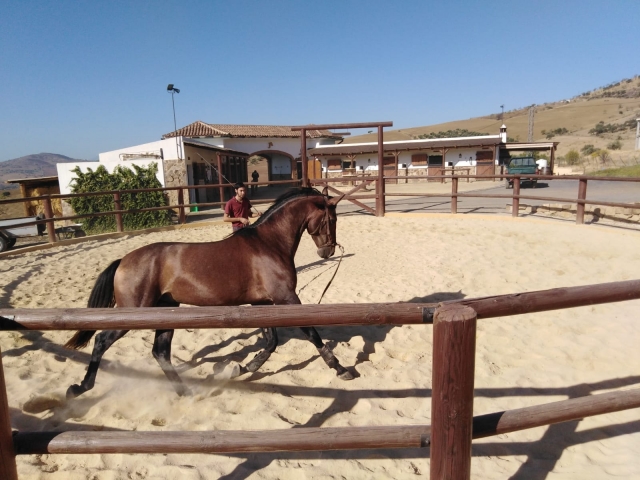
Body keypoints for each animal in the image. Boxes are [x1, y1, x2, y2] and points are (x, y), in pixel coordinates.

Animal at [64, 187, 353, 399]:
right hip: (134, 312)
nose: (327, 251)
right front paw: (341, 369)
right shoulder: (285, 298)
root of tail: (123, 260)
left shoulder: (262, 303)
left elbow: (271, 343)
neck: (269, 244)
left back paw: (185, 391)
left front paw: (241, 368)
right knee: (102, 341)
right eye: (331, 219)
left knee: (160, 352)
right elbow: (311, 333)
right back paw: (79, 388)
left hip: (166, 311)